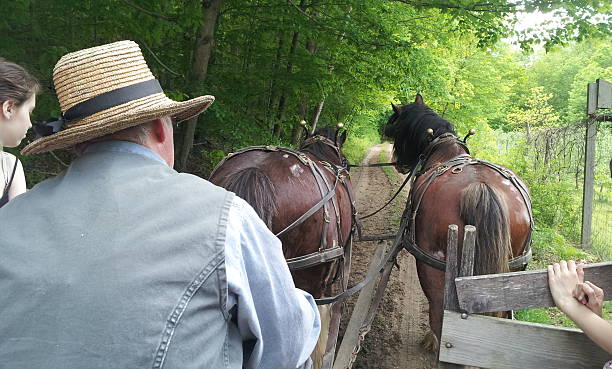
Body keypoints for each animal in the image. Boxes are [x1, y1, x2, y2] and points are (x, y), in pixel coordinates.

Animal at [384, 94, 532, 348]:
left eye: (397, 130)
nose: (398, 164)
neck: (444, 151)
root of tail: (481, 186)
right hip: (514, 268)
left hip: (431, 265)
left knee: (437, 309)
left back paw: (433, 340)